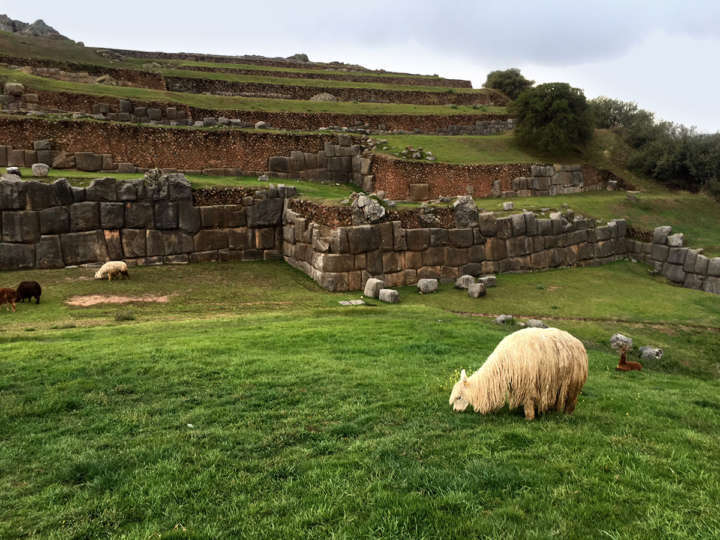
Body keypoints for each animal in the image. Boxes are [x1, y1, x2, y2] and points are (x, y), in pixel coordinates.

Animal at [450, 326, 592, 420]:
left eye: (459, 397)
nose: (455, 410)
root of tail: (578, 342)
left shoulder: (528, 384)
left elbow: (528, 402)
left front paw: (529, 417)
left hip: (573, 382)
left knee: (571, 400)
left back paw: (567, 415)